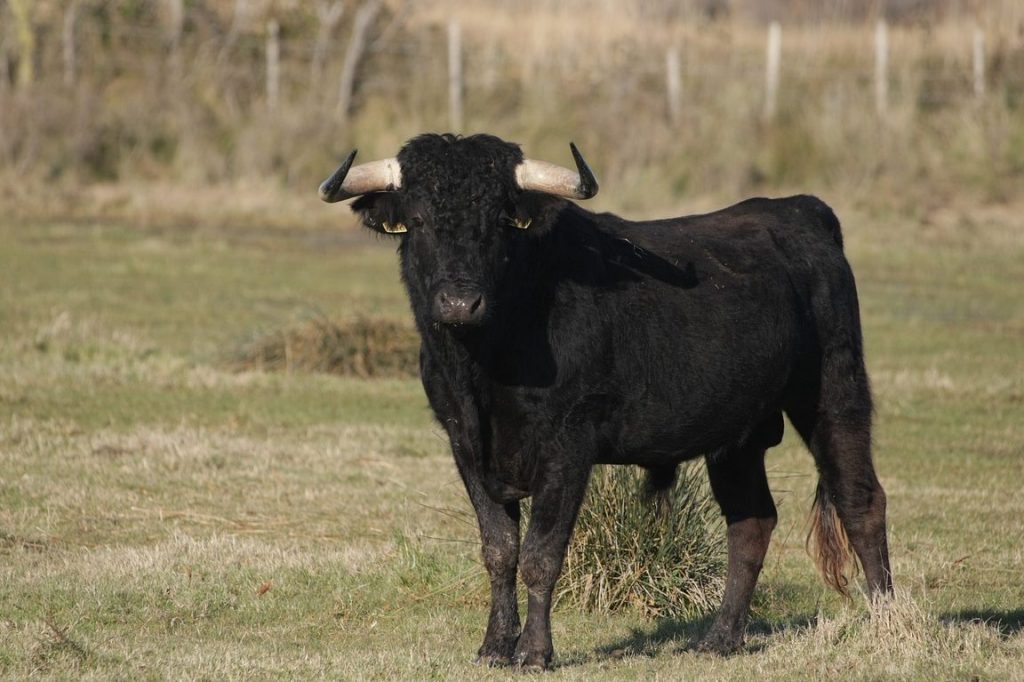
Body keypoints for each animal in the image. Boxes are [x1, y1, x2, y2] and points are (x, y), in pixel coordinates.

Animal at [317, 134, 888, 667]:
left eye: (500, 221)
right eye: (417, 220)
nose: (460, 303)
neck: (485, 363)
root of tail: (799, 210)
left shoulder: (569, 444)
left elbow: (541, 554)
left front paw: (534, 652)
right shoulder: (465, 443)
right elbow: (499, 550)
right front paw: (494, 646)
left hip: (834, 394)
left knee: (861, 502)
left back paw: (885, 620)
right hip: (738, 435)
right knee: (751, 523)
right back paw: (720, 639)